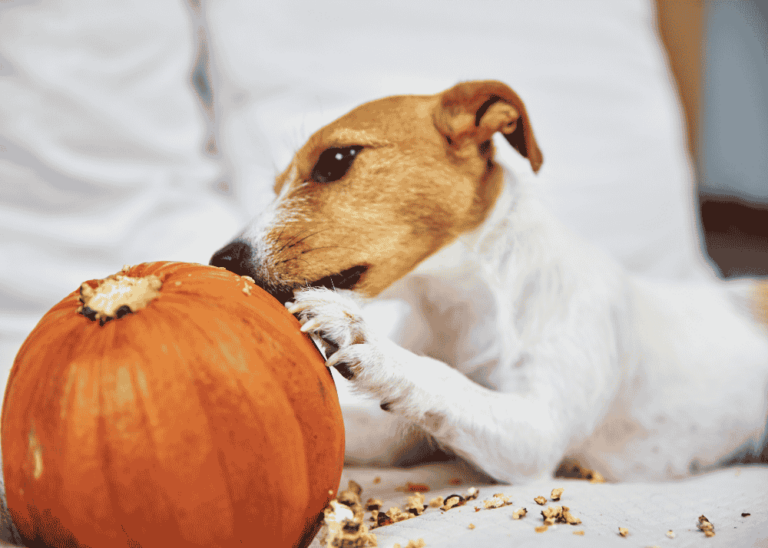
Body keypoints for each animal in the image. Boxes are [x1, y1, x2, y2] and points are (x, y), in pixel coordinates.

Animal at [210, 79, 768, 482]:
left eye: (336, 160)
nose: (220, 259)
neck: (463, 309)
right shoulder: (401, 437)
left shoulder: (536, 432)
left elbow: (444, 378)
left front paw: (369, 341)